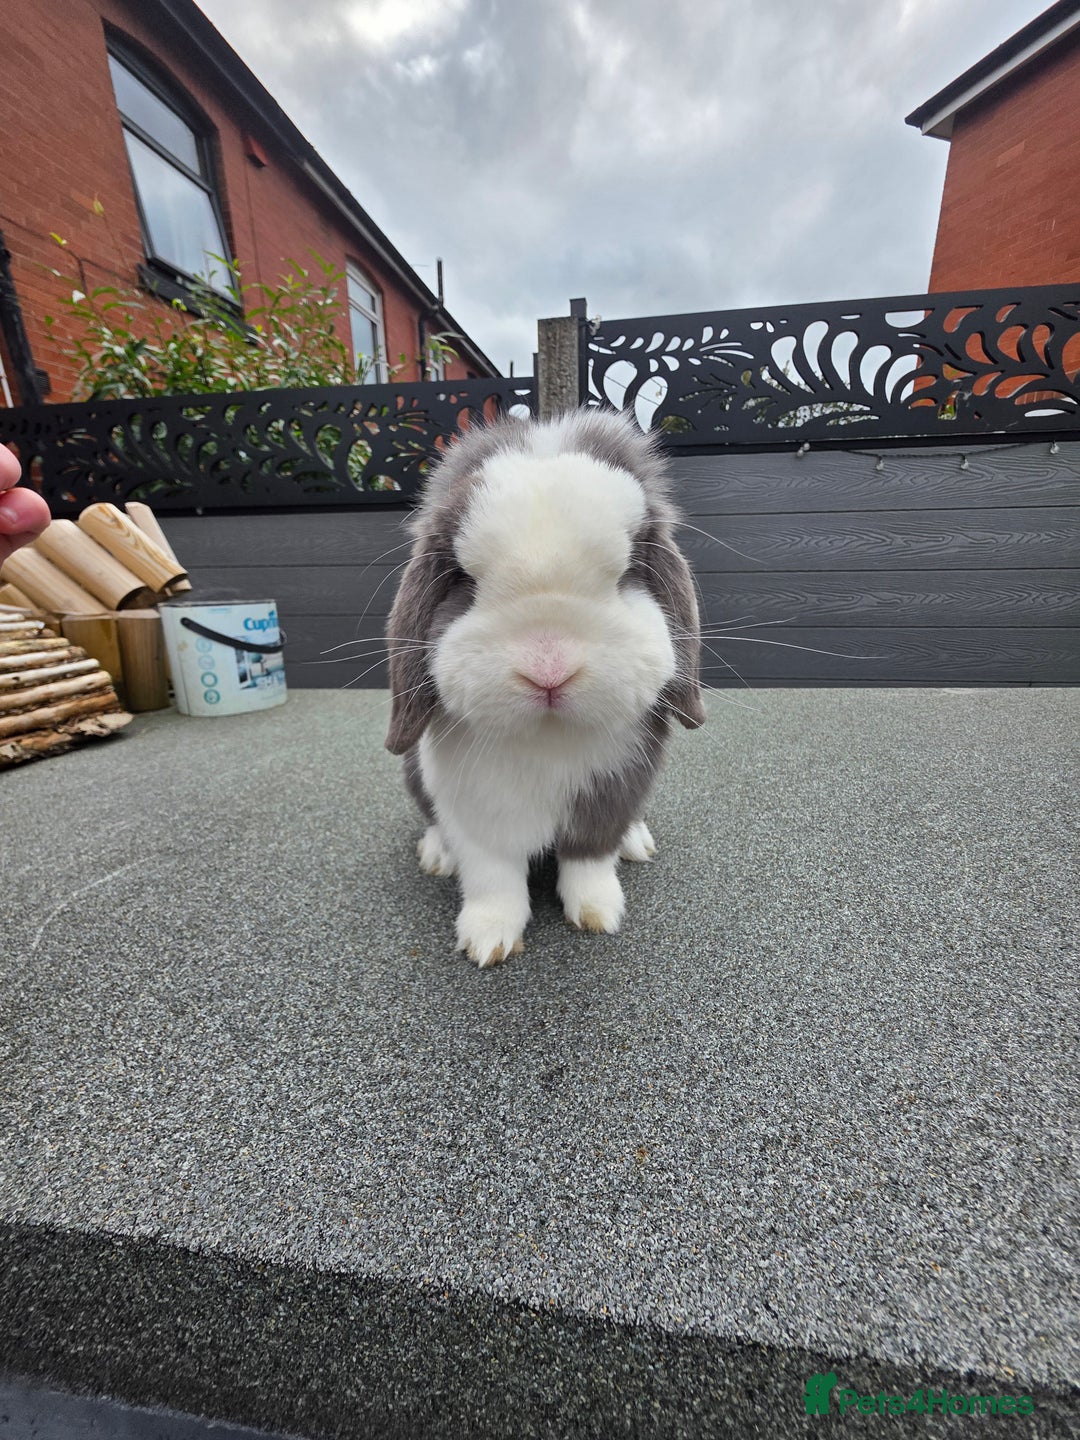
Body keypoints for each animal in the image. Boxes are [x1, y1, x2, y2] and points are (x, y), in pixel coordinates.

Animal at [384, 406, 705, 967]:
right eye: (463, 579)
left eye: (629, 571)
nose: (549, 668)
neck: (546, 739)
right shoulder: (476, 812)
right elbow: (492, 877)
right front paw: (488, 941)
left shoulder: (610, 793)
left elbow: (590, 858)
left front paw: (599, 913)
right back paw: (436, 854)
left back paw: (636, 843)